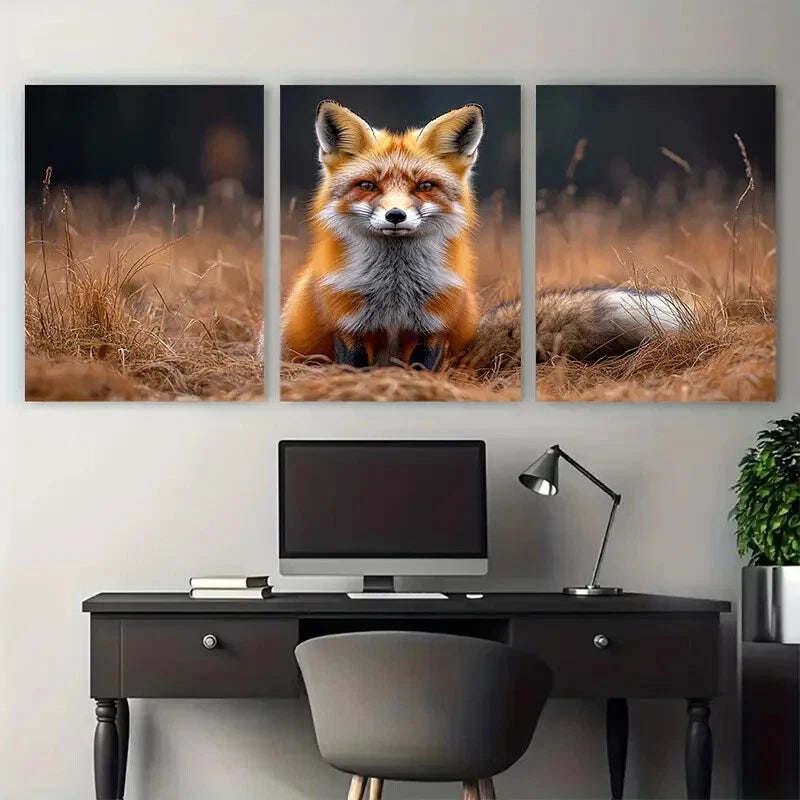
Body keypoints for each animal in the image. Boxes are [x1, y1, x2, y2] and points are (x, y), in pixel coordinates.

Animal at [280, 100, 484, 370]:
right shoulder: (348, 324)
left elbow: (422, 370)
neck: (394, 288)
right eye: (368, 185)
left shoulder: (435, 326)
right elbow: (354, 368)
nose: (395, 215)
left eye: (425, 186)